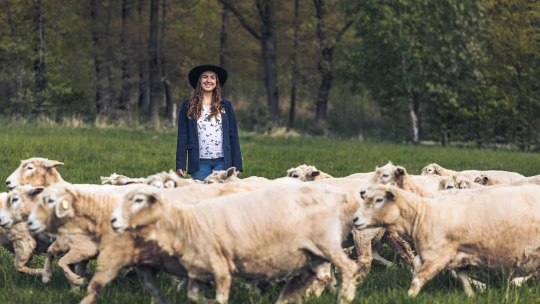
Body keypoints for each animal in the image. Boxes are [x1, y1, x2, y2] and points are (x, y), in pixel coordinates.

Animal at [110, 183, 360, 304]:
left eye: (139, 200)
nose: (113, 220)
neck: (185, 222)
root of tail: (335, 195)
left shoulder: (220, 267)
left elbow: (221, 297)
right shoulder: (199, 271)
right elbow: (194, 296)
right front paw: (206, 301)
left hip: (327, 243)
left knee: (349, 268)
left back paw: (345, 298)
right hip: (312, 254)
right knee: (314, 279)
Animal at [354, 184, 540, 296]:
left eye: (379, 200)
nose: (355, 219)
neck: (423, 214)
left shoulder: (437, 256)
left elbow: (417, 279)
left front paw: (409, 297)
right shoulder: (459, 257)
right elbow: (464, 281)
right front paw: (472, 295)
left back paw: (517, 282)